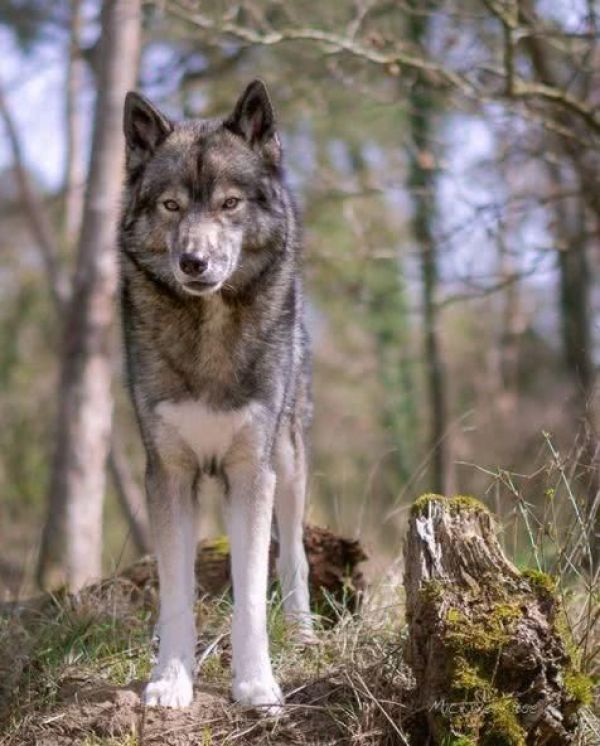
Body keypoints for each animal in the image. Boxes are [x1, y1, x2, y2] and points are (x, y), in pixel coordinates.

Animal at [119, 81, 312, 708]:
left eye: (229, 203)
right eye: (171, 206)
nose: (193, 262)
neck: (208, 328)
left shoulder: (251, 470)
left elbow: (249, 591)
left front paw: (256, 685)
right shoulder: (168, 472)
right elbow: (177, 590)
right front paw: (169, 680)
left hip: (289, 460)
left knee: (294, 554)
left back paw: (304, 634)